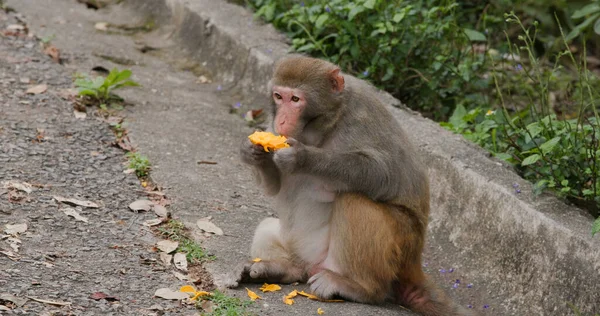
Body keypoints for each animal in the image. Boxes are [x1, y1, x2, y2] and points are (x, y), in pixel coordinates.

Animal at [232, 55, 476, 314]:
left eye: (295, 99)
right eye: (279, 96)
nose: (282, 119)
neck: (325, 123)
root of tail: (414, 262)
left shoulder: (362, 116)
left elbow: (384, 172)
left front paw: (303, 157)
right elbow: (275, 188)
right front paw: (251, 151)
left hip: (401, 246)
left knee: (354, 200)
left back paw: (362, 288)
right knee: (268, 230)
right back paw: (283, 269)